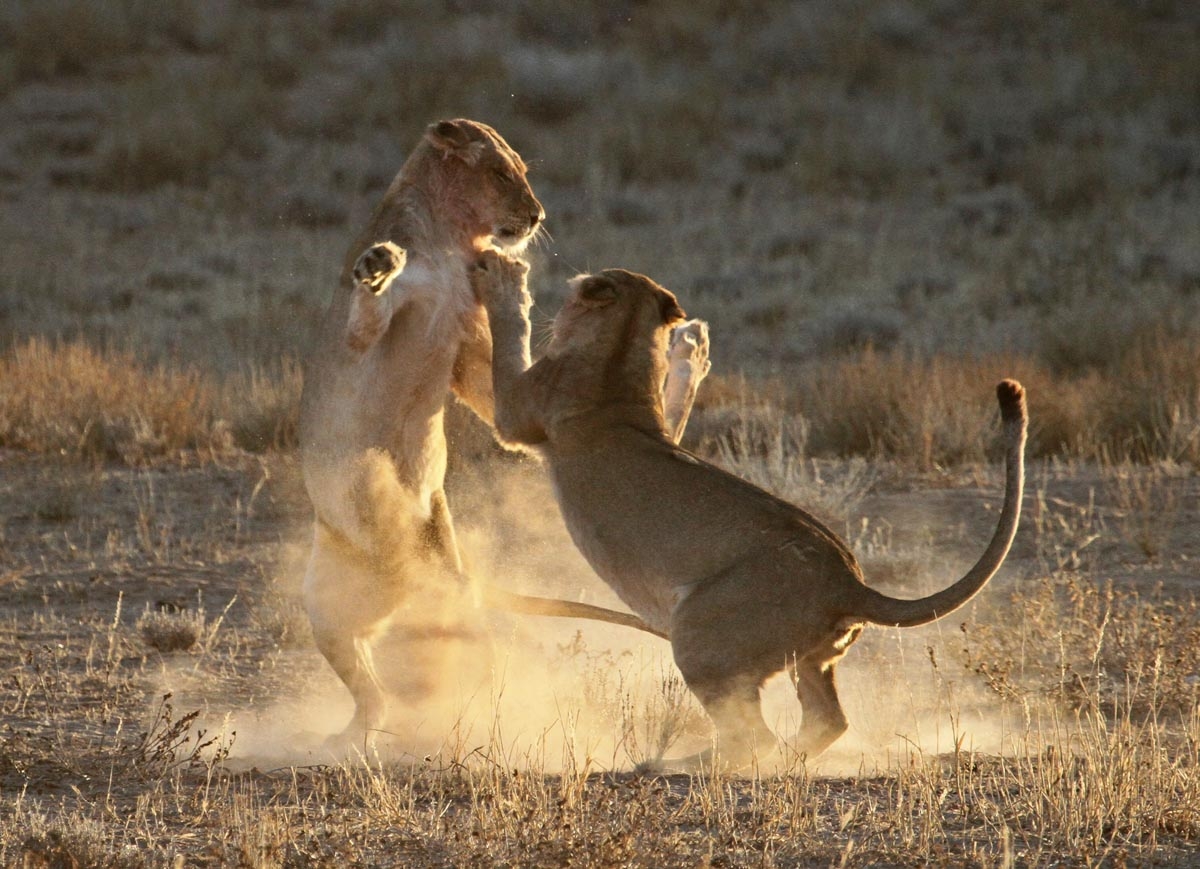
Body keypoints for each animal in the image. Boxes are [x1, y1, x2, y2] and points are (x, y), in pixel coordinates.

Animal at [298, 119, 708, 740]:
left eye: (521, 170)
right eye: (498, 172)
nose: (537, 216)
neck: (448, 245)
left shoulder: (470, 344)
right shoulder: (365, 339)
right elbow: (365, 315)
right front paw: (377, 265)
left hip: (440, 592)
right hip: (325, 601)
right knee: (374, 687)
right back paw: (356, 734)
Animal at [470, 250, 1028, 769]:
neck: (623, 353)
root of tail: (850, 583)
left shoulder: (517, 414)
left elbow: (505, 345)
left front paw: (503, 277)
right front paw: (689, 349)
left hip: (698, 632)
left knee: (751, 737)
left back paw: (669, 764)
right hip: (812, 658)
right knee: (826, 721)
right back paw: (784, 763)